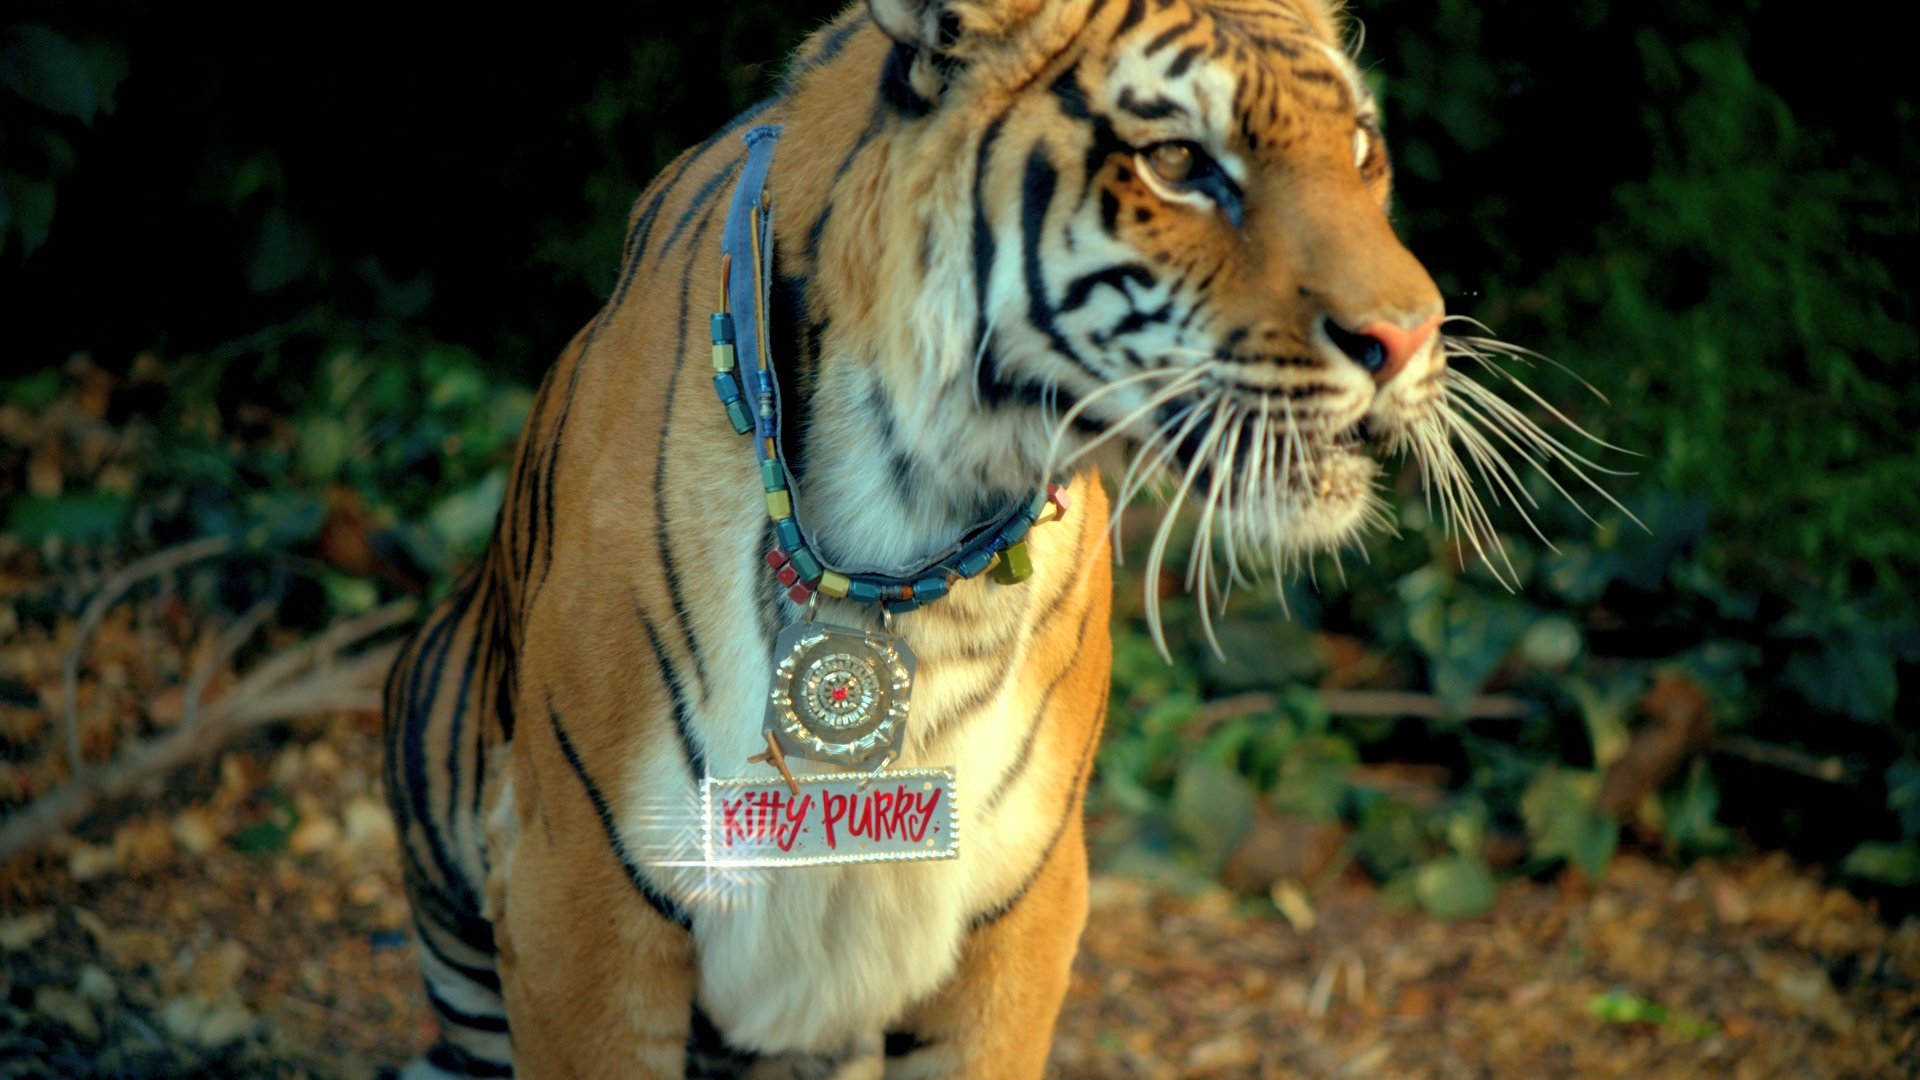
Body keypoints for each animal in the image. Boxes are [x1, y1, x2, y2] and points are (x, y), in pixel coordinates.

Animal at [381, 0, 1555, 1076]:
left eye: (1360, 150)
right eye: (1178, 162)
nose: (1409, 336)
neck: (911, 533)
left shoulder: (1022, 906)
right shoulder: (577, 893)